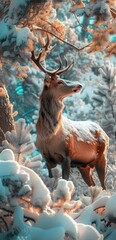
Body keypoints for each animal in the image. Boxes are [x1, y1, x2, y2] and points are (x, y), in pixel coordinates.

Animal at [31, 46, 109, 189]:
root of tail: (105, 133)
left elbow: (65, 180)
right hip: (84, 165)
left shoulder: (67, 154)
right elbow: (52, 179)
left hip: (102, 156)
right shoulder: (46, 157)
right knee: (93, 185)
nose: (79, 85)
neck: (48, 135)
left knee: (103, 185)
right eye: (60, 81)